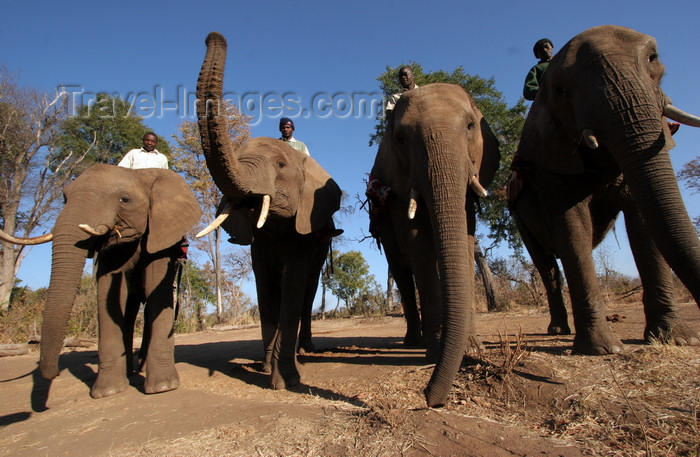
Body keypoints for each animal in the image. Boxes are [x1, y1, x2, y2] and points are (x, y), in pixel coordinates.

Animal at [0, 164, 202, 396]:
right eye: (64, 198)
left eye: (124, 199)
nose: (56, 373)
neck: (140, 173)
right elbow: (107, 294)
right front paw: (108, 392)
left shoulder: (162, 237)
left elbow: (157, 294)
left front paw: (163, 388)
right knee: (129, 312)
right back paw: (130, 372)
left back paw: (140, 369)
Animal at [194, 32, 342, 388]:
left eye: (280, 165)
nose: (214, 37)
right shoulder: (260, 242)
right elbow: (264, 285)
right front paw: (265, 369)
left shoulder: (304, 230)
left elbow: (291, 285)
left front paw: (285, 379)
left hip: (322, 243)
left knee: (308, 290)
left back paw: (307, 351)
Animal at [370, 82, 500, 406]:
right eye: (401, 139)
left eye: (470, 126)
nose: (429, 397)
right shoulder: (399, 188)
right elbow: (419, 248)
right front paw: (433, 353)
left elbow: (465, 240)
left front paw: (474, 349)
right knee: (403, 274)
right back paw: (414, 342)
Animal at [508, 24, 700, 352]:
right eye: (561, 90)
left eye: (653, 58)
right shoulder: (551, 163)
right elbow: (573, 227)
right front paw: (603, 350)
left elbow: (644, 224)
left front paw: (678, 339)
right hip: (519, 216)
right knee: (546, 265)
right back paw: (558, 330)